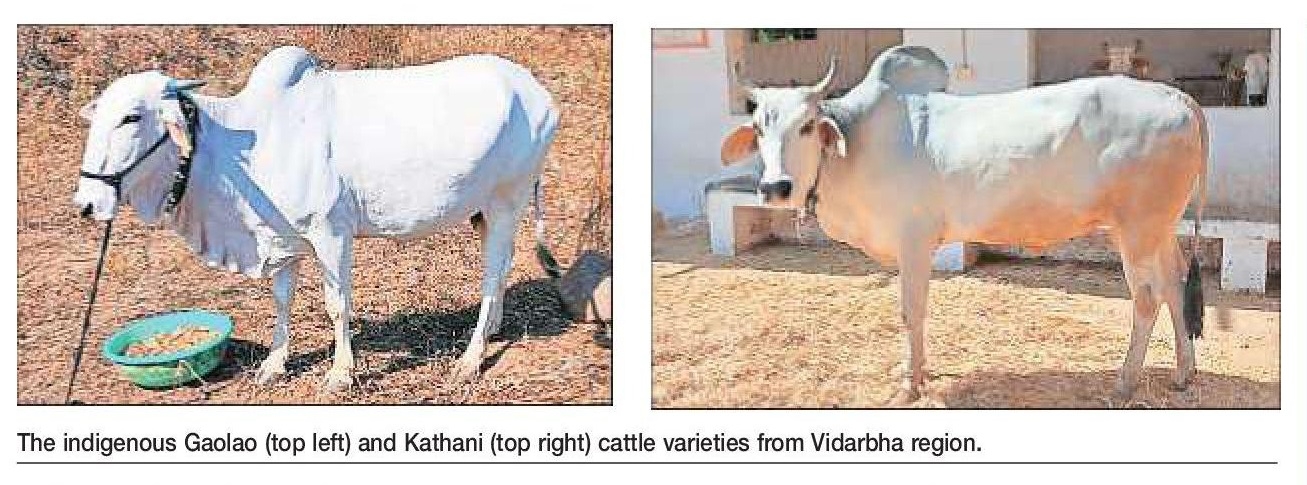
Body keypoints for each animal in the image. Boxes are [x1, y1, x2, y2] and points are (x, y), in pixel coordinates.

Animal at [74, 46, 561, 391]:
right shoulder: (281, 241)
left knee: (491, 274)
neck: (240, 149)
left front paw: (341, 373)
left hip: (506, 201)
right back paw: (494, 326)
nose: (87, 203)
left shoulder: (331, 234)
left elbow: (337, 304)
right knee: (503, 265)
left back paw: (470, 359)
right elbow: (282, 300)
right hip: (488, 210)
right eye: (96, 117)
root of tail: (536, 91)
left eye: (131, 117)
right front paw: (274, 364)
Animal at [721, 45, 1207, 405]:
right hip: (1161, 228)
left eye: (806, 125)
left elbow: (910, 310)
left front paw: (910, 384)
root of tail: (1176, 97)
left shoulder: (914, 240)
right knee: (1174, 282)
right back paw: (1184, 374)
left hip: (1137, 229)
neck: (856, 145)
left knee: (1146, 298)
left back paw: (1124, 383)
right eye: (757, 128)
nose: (775, 187)